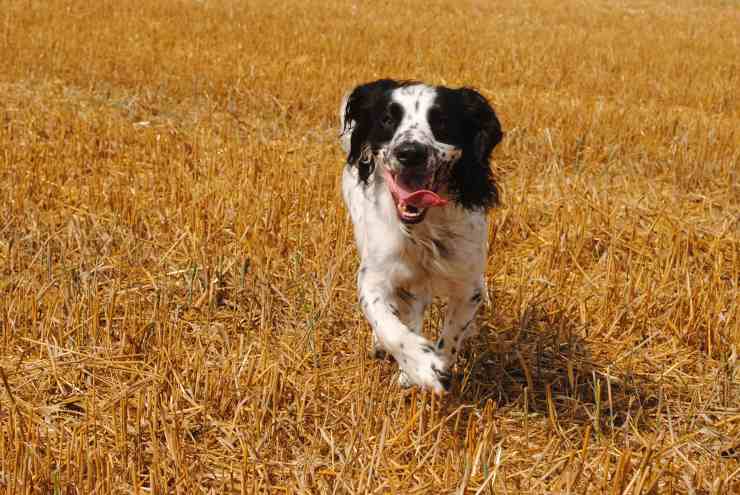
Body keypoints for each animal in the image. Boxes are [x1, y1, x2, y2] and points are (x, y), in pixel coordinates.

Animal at [340, 79, 502, 394]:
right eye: (387, 119)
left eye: (441, 120)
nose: (410, 152)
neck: (422, 230)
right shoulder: (374, 277)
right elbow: (389, 326)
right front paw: (421, 366)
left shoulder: (469, 286)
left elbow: (451, 337)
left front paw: (436, 368)